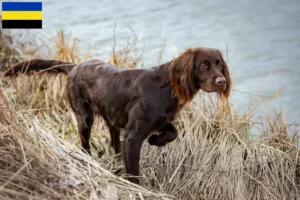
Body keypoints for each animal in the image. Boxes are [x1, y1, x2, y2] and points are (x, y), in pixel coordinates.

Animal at [2, 47, 231, 184]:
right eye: (204, 64)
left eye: (219, 63)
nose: (222, 81)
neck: (166, 87)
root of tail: (75, 65)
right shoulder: (133, 135)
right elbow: (134, 170)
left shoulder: (159, 120)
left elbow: (172, 132)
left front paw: (156, 140)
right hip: (84, 117)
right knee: (84, 145)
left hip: (111, 118)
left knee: (113, 142)